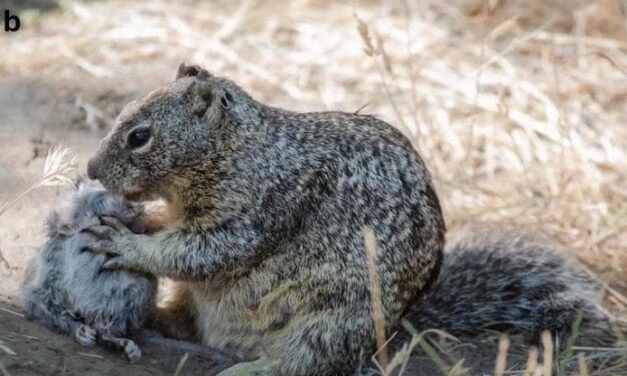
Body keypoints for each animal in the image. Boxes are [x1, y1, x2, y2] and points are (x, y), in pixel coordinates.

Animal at [86, 63, 620, 374]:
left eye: (139, 136)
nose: (90, 170)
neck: (242, 150)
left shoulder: (256, 211)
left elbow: (201, 252)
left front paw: (127, 243)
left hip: (331, 324)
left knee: (301, 364)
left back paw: (246, 369)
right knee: (187, 321)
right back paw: (159, 321)